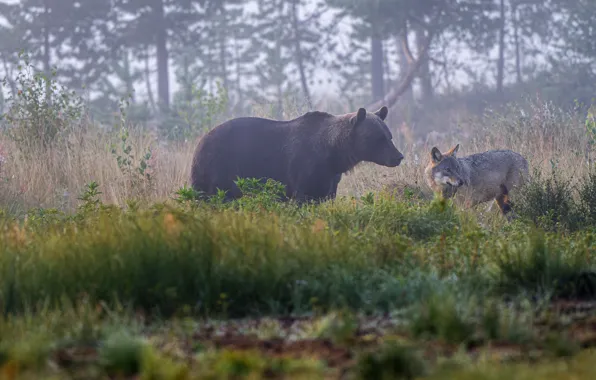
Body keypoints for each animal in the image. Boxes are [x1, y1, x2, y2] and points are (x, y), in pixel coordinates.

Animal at [191, 105, 406, 203]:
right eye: (378, 138)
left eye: (389, 136)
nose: (398, 157)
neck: (334, 154)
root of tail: (200, 141)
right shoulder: (304, 169)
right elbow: (302, 197)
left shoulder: (330, 178)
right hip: (220, 167)